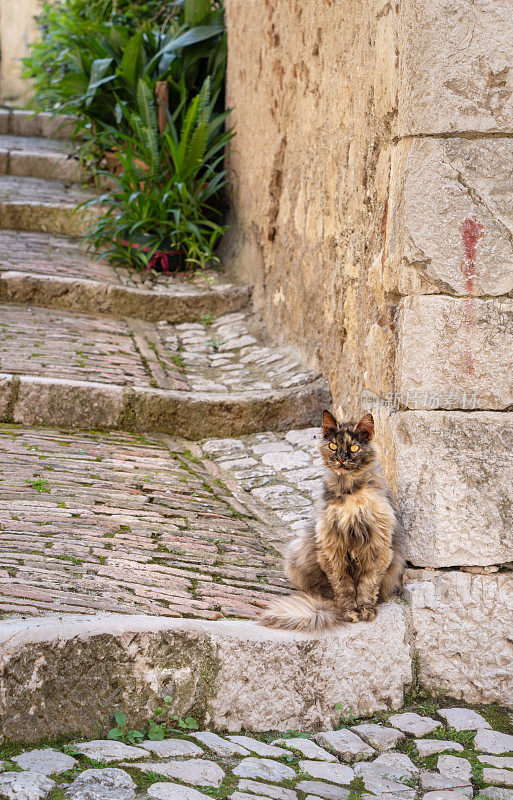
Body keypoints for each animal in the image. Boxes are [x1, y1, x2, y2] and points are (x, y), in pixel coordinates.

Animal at [260, 412, 404, 632]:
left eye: (354, 448)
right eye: (333, 446)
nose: (341, 458)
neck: (350, 494)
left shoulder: (376, 547)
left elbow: (367, 586)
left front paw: (366, 611)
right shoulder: (332, 547)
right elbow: (344, 587)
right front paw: (349, 612)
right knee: (328, 592)